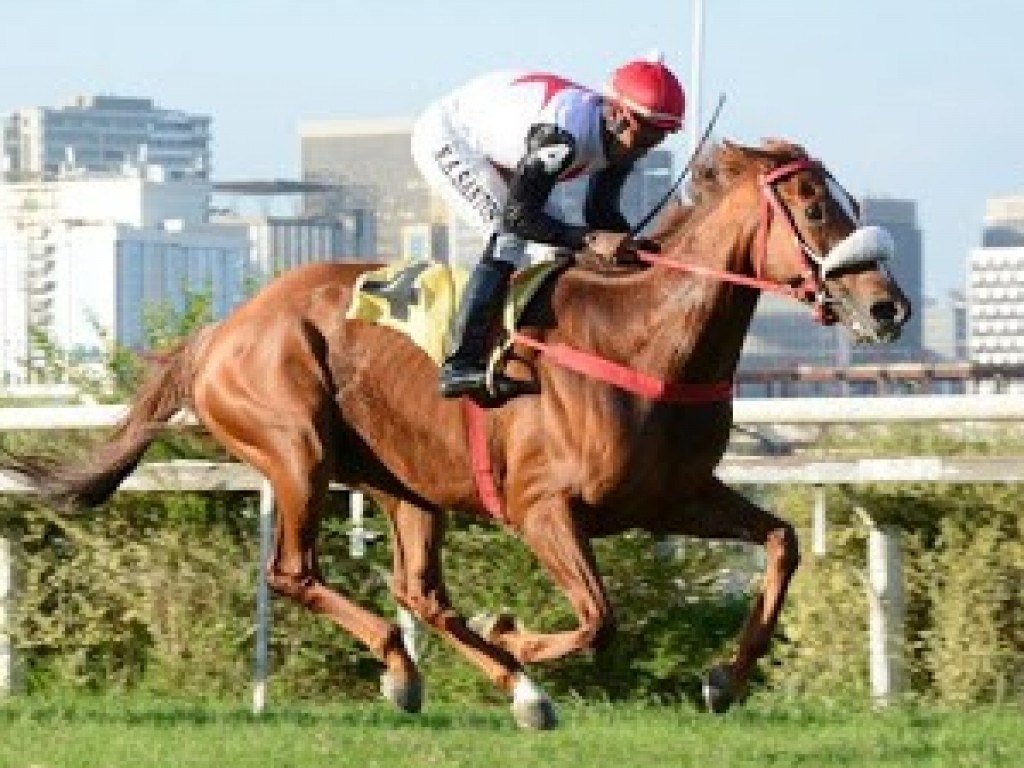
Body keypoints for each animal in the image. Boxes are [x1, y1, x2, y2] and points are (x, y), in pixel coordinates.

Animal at [9, 140, 913, 729]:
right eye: (813, 206)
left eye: (849, 205)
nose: (888, 306)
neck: (643, 339)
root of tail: (222, 330)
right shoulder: (543, 508)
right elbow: (600, 617)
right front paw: (518, 633)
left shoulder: (672, 497)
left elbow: (782, 543)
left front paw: (725, 678)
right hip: (297, 446)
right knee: (294, 571)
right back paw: (437, 670)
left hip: (405, 481)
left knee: (419, 591)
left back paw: (496, 686)